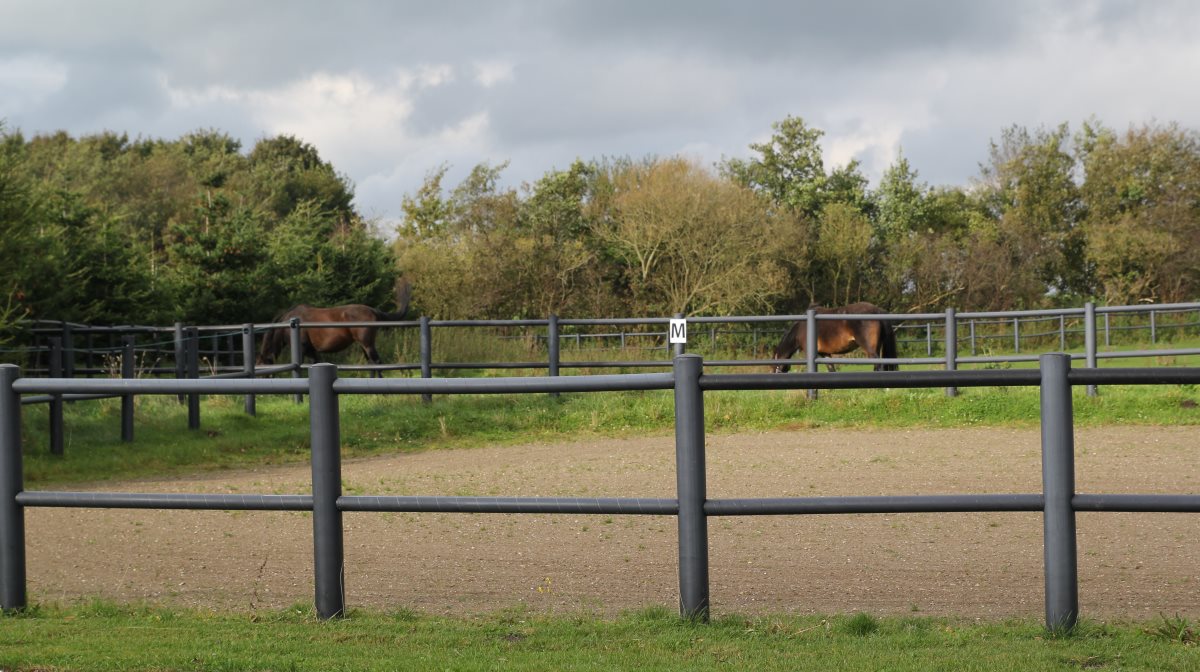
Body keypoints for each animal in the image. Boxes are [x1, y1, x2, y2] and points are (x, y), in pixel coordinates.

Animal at [258, 277, 412, 379]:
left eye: (263, 366)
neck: (289, 324)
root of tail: (373, 310)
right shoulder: (312, 352)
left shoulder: (303, 349)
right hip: (364, 345)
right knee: (371, 363)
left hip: (367, 344)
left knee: (377, 362)